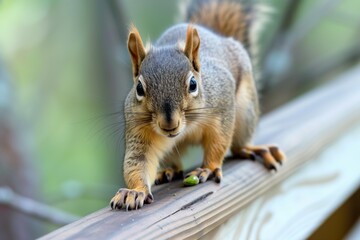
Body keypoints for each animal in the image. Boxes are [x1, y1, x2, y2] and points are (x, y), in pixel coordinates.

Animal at [109, 0, 284, 210]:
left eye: (193, 84)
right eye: (139, 88)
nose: (169, 124)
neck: (187, 126)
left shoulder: (223, 104)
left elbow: (219, 141)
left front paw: (208, 168)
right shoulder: (138, 127)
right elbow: (137, 161)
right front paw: (135, 191)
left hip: (245, 109)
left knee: (237, 145)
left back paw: (250, 149)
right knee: (173, 162)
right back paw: (167, 170)